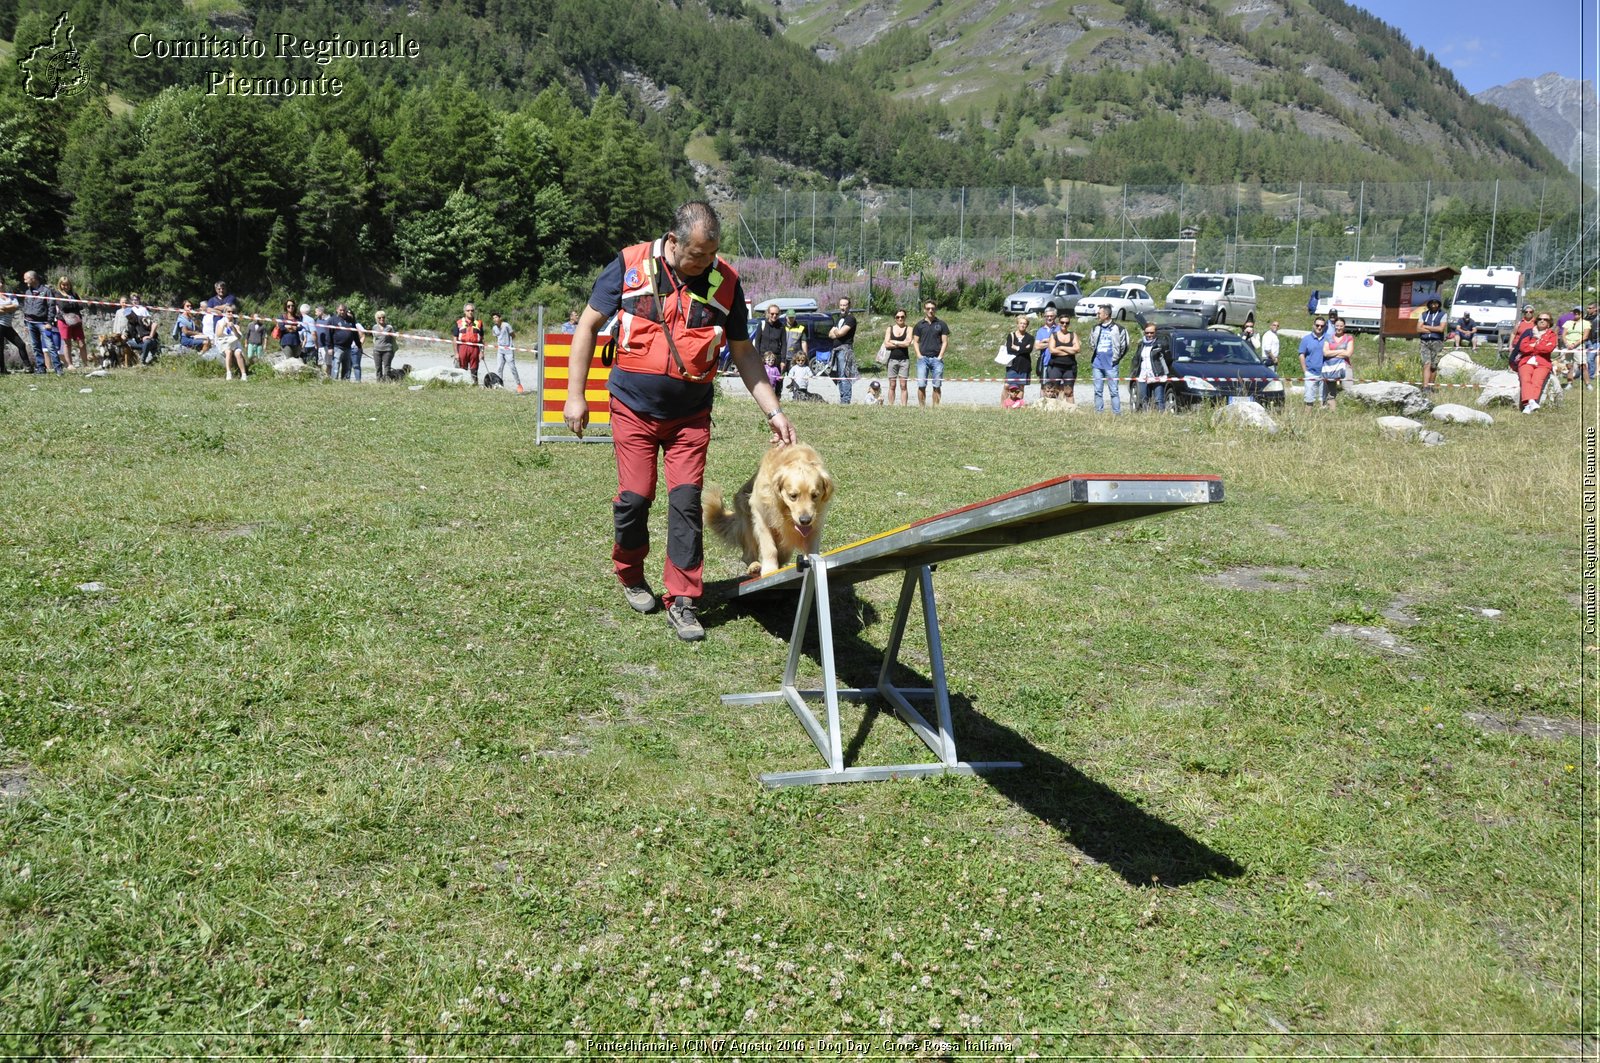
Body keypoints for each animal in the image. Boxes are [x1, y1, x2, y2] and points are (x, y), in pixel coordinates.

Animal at [710, 445, 844, 576]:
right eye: (793, 496)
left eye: (815, 495)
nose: (805, 520)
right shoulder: (761, 514)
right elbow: (769, 548)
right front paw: (769, 569)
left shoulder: (816, 523)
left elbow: (812, 549)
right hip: (747, 519)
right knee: (748, 554)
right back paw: (754, 566)